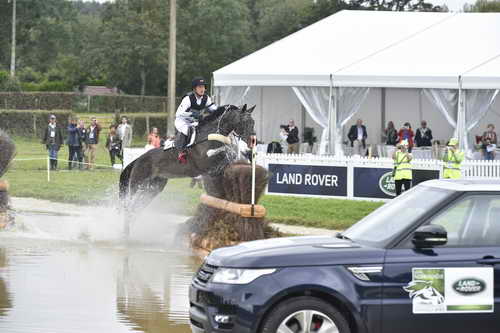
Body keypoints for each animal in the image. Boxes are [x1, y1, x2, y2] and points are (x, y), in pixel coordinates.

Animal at [119, 104, 256, 236]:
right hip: (137, 184)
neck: (211, 136)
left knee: (136, 208)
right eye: (244, 122)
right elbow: (221, 155)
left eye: (253, 122)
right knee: (128, 206)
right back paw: (125, 234)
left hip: (154, 188)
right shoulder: (208, 164)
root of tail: (138, 160)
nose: (252, 143)